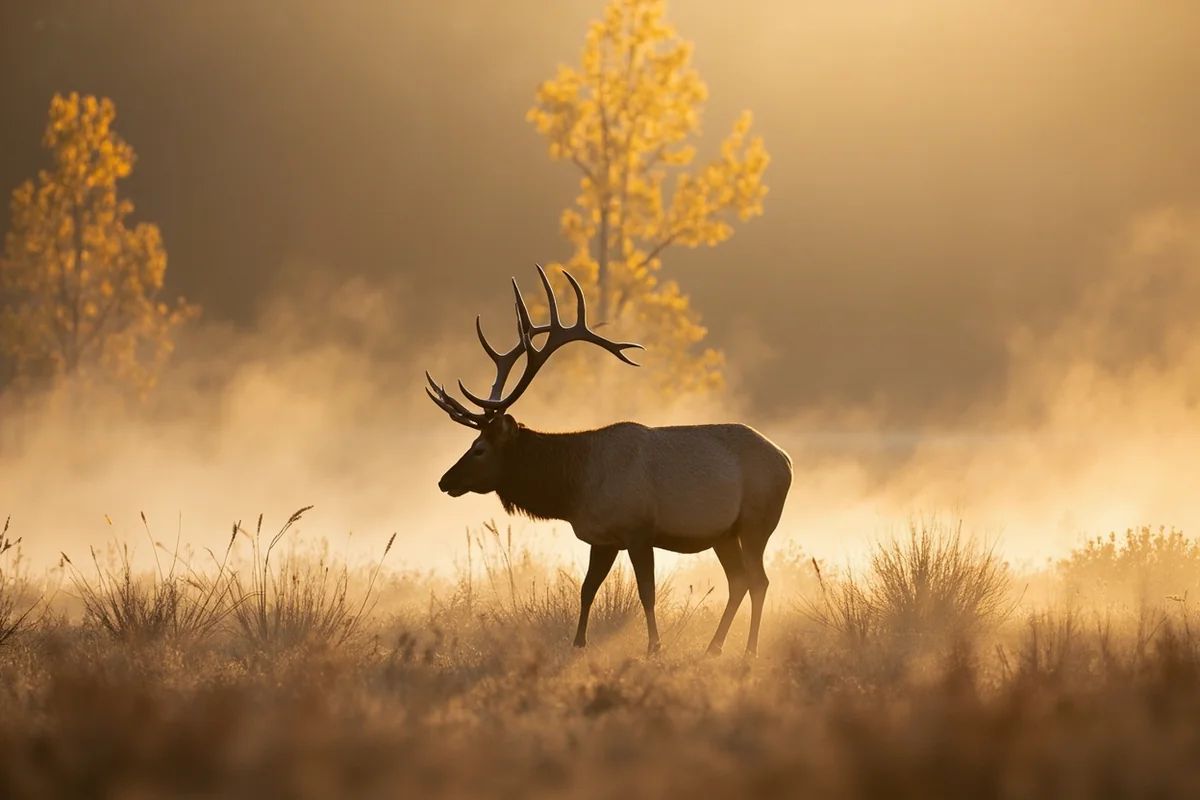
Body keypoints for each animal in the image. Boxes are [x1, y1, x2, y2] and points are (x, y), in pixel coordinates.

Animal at [425, 265, 793, 658]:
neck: (576, 488)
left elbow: (646, 592)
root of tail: (786, 461)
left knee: (759, 580)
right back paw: (713, 647)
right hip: (723, 533)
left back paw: (750, 650)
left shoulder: (638, 529)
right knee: (739, 580)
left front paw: (654, 647)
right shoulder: (602, 538)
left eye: (480, 448)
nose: (445, 481)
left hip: (757, 522)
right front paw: (578, 643)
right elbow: (587, 589)